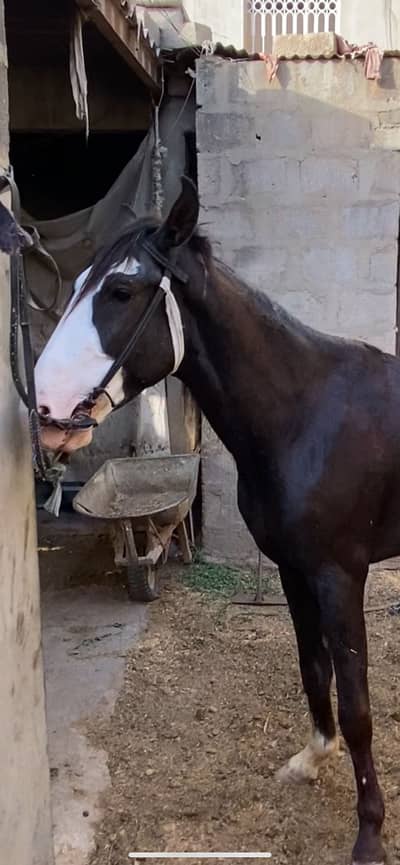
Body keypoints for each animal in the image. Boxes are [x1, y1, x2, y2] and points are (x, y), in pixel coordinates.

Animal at [35, 176, 400, 865]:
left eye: (121, 291)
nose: (44, 407)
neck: (304, 415)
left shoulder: (340, 577)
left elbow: (358, 703)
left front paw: (369, 834)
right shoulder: (293, 571)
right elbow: (313, 669)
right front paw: (312, 759)